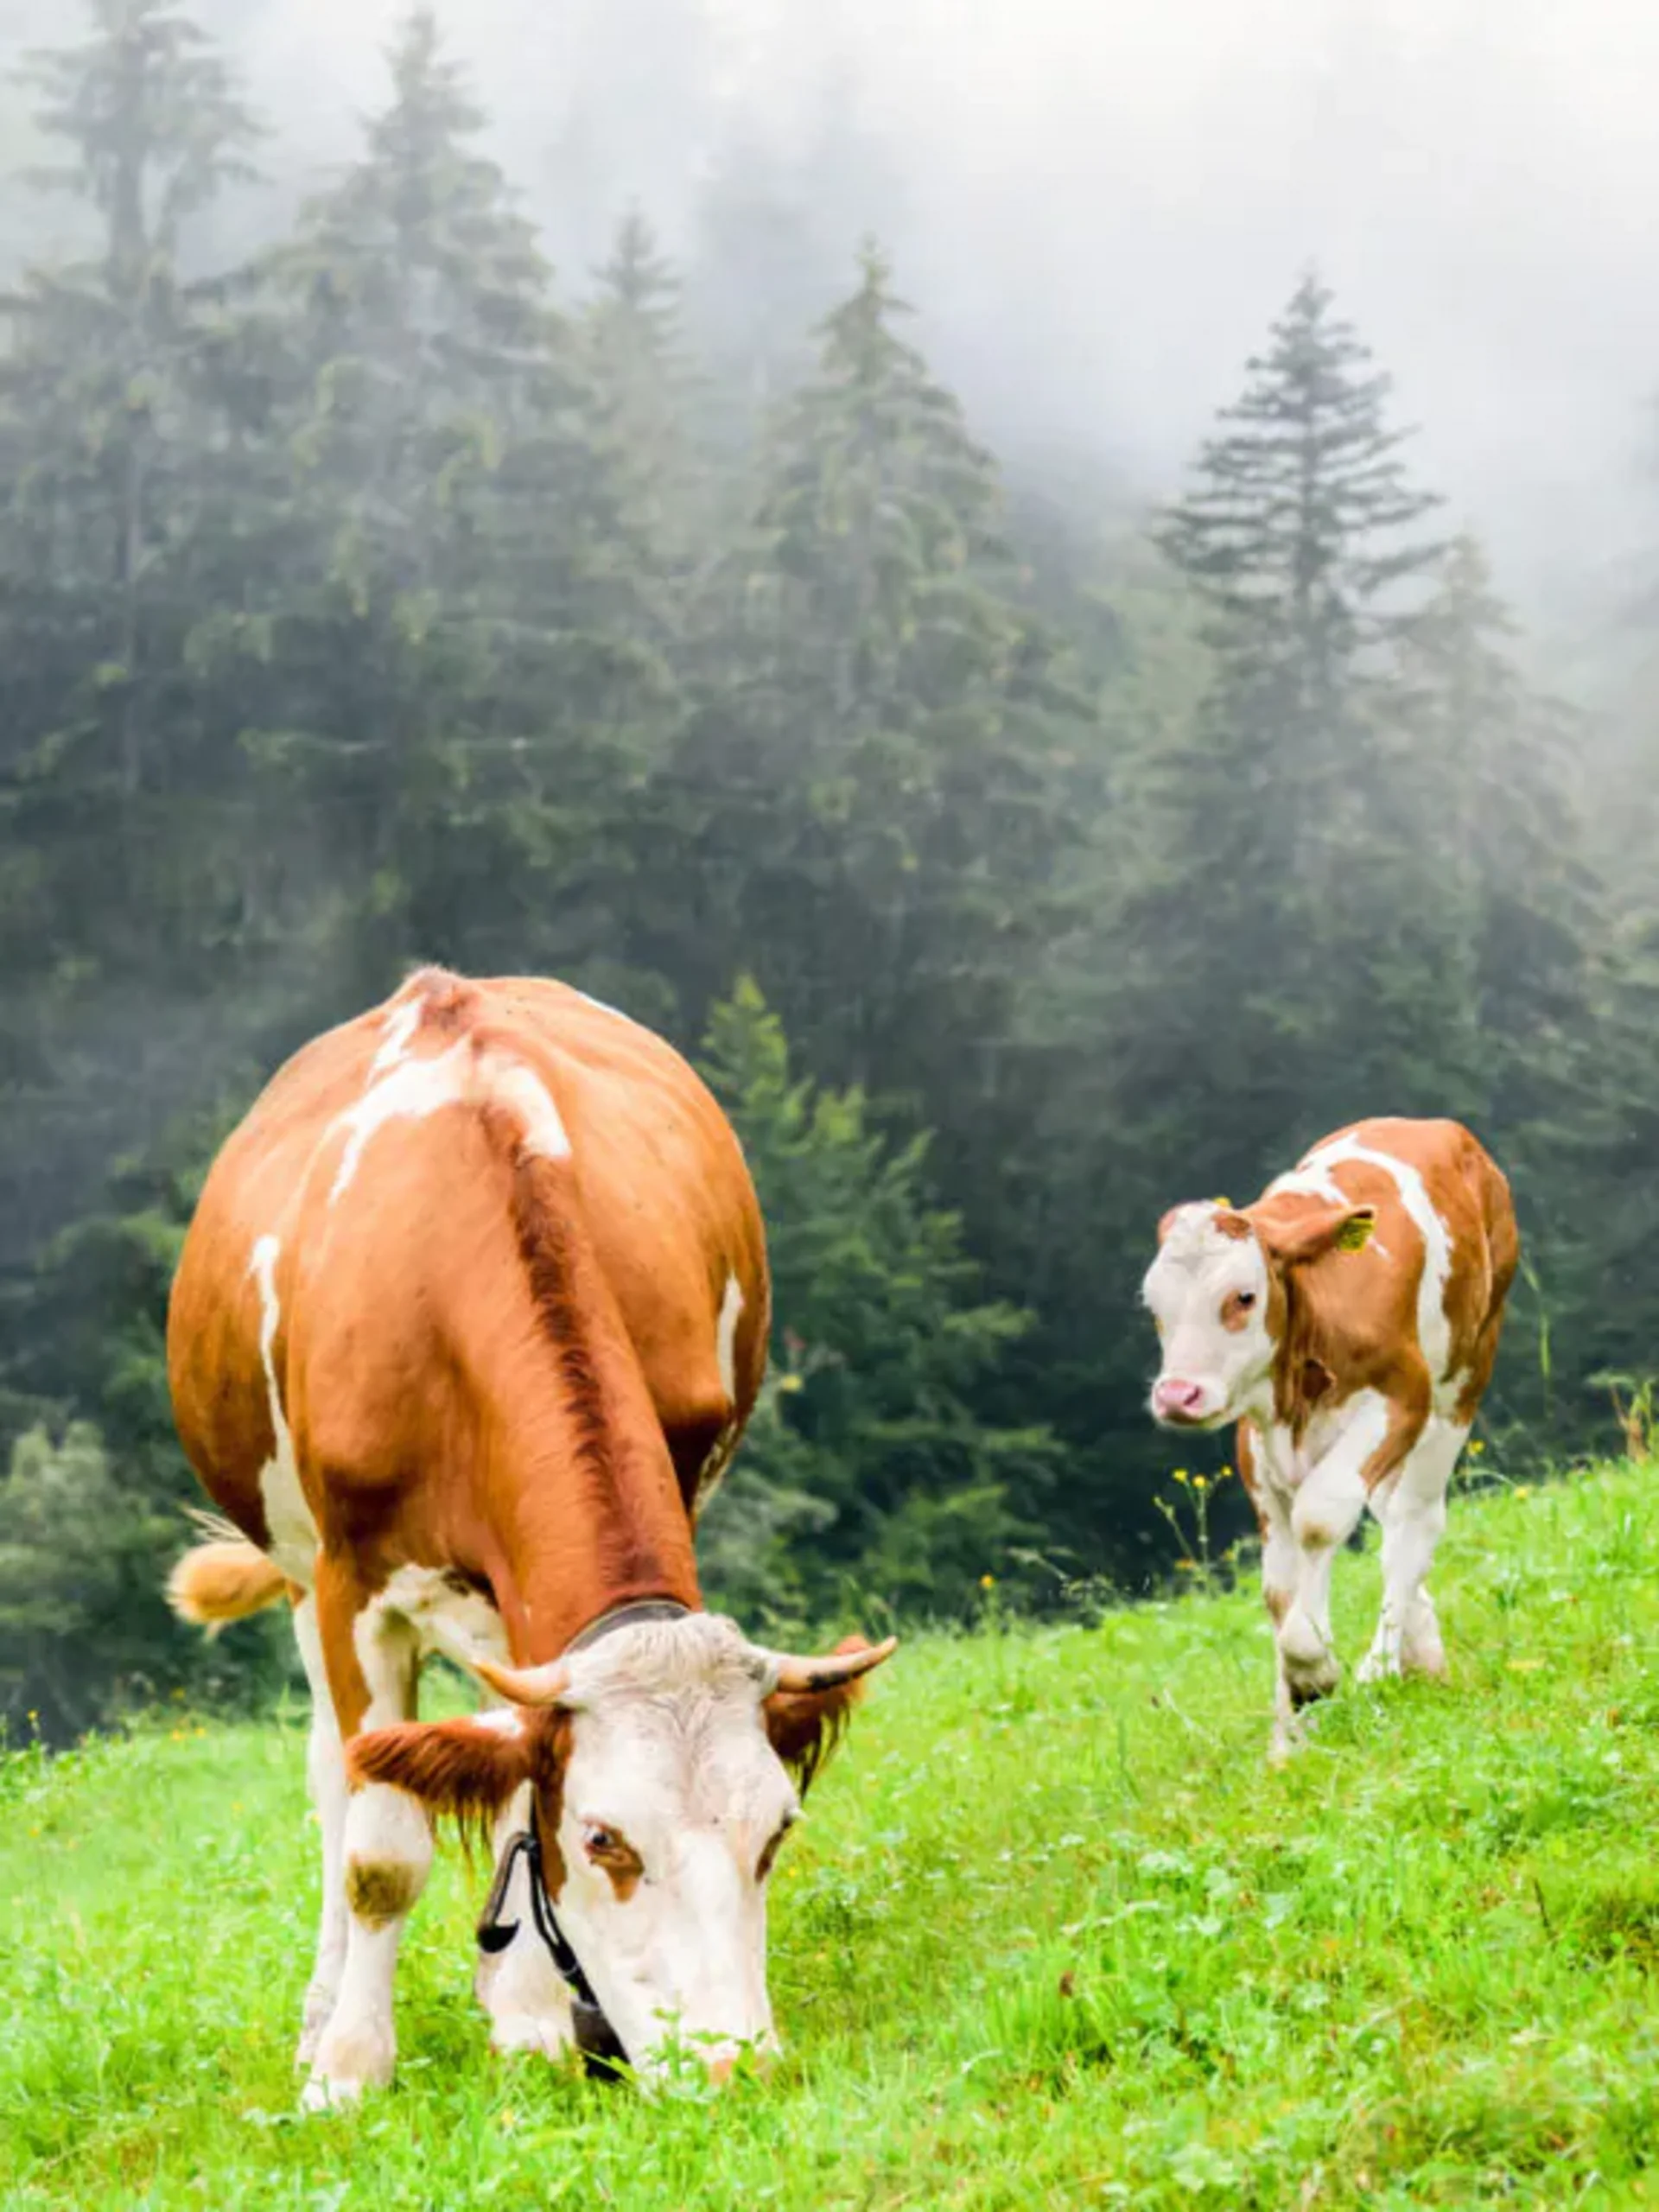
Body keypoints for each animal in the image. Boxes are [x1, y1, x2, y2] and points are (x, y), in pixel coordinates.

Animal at [165, 966, 895, 2108]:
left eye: (777, 1829)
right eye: (603, 1839)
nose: (729, 2066)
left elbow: (512, 1775)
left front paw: (534, 2022)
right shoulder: (351, 1584)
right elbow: (381, 1848)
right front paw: (348, 2071)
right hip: (297, 1575)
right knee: (336, 1777)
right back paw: (325, 2015)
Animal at [1140, 1118, 1517, 1760]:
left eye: (1243, 1296)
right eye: (1152, 1307)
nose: (1177, 1395)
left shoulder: (1403, 1397)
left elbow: (1319, 1520)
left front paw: (1314, 1671)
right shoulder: (1256, 1432)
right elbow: (1278, 1588)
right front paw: (1288, 1736)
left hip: (1463, 1381)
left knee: (1414, 1521)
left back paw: (1383, 1665)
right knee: (1391, 1516)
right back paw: (1422, 1651)